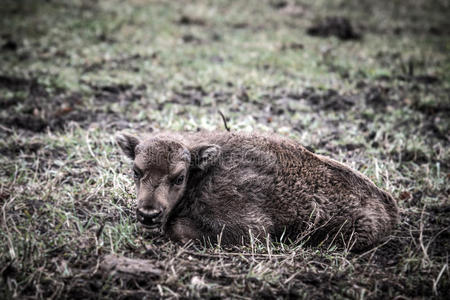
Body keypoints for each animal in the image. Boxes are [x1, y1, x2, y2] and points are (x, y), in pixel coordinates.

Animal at [116, 131, 398, 251]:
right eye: (136, 171)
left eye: (179, 177)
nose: (148, 214)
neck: (203, 174)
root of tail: (389, 204)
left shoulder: (250, 229)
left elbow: (176, 228)